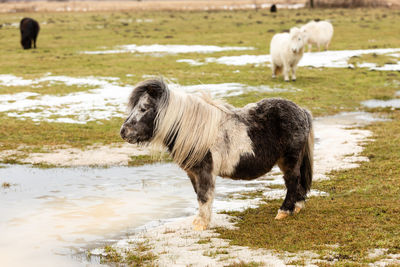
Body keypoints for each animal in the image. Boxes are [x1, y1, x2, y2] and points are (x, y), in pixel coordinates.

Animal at [120, 78, 314, 231]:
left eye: (144, 108)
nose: (123, 132)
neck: (194, 131)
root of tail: (302, 111)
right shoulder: (193, 174)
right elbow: (200, 196)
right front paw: (199, 221)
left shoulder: (205, 172)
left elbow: (204, 196)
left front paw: (201, 225)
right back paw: (296, 207)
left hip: (289, 160)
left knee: (292, 181)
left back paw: (284, 212)